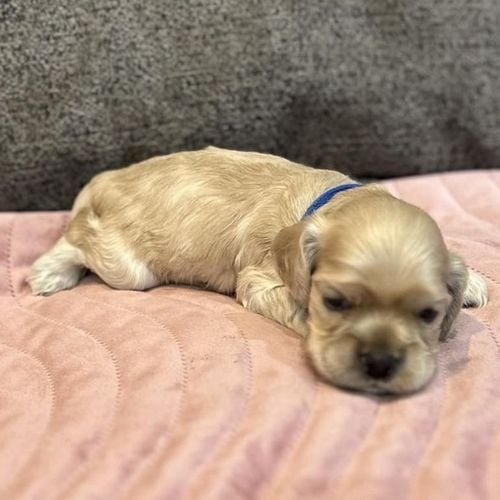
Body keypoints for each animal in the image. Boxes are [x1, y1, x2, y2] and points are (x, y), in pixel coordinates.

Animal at [28, 147, 488, 394]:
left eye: (427, 314)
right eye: (334, 303)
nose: (379, 364)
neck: (327, 200)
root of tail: (103, 179)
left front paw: (473, 282)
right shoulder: (257, 281)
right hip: (130, 268)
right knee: (78, 235)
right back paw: (48, 272)